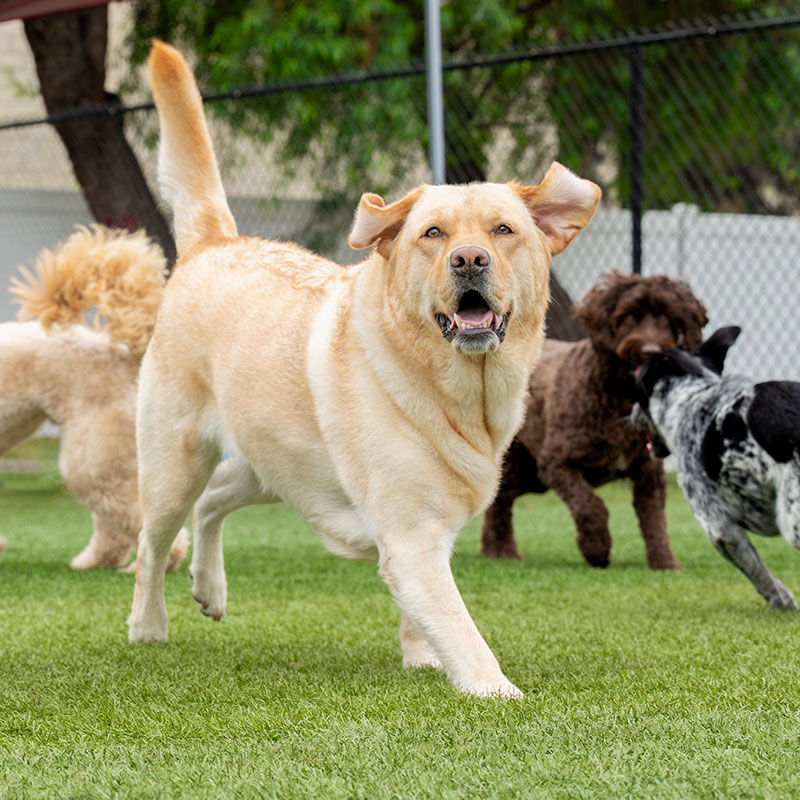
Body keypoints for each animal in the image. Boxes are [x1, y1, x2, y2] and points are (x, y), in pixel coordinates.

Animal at [482, 274, 708, 568]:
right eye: (628, 317)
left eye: (666, 318)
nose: (650, 350)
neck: (619, 400)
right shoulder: (557, 464)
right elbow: (591, 505)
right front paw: (597, 549)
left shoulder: (648, 472)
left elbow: (655, 521)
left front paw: (665, 562)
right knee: (500, 500)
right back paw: (502, 551)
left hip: (530, 472)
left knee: (502, 497)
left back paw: (495, 549)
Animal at [636, 328, 800, 608]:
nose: (631, 413)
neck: (692, 397)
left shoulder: (720, 528)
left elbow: (757, 571)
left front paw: (780, 600)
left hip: (792, 519)